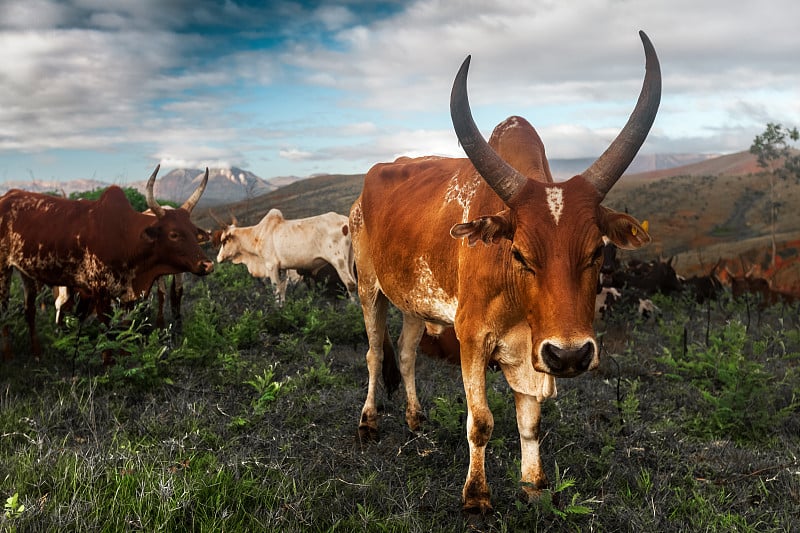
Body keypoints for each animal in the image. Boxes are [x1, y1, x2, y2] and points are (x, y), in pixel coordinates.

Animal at [0, 164, 212, 360]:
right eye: (174, 234)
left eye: (194, 232)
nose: (207, 265)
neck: (127, 237)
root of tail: (6, 197)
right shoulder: (99, 292)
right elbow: (108, 330)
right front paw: (108, 364)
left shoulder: (127, 296)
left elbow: (125, 328)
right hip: (4, 269)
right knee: (5, 310)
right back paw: (8, 354)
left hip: (26, 271)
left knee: (30, 310)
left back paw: (36, 352)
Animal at [217, 208, 358, 302]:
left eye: (224, 241)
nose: (218, 258)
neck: (257, 235)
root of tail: (346, 221)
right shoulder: (283, 269)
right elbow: (283, 292)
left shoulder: (271, 266)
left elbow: (276, 292)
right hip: (350, 260)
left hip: (339, 261)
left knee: (350, 284)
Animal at [346, 32, 660, 512]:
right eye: (519, 254)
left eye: (596, 252)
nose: (571, 356)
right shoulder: (472, 336)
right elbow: (481, 422)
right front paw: (476, 495)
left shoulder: (530, 352)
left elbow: (530, 423)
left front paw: (534, 484)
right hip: (368, 288)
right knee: (374, 353)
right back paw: (368, 422)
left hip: (416, 302)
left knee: (405, 352)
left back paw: (416, 417)